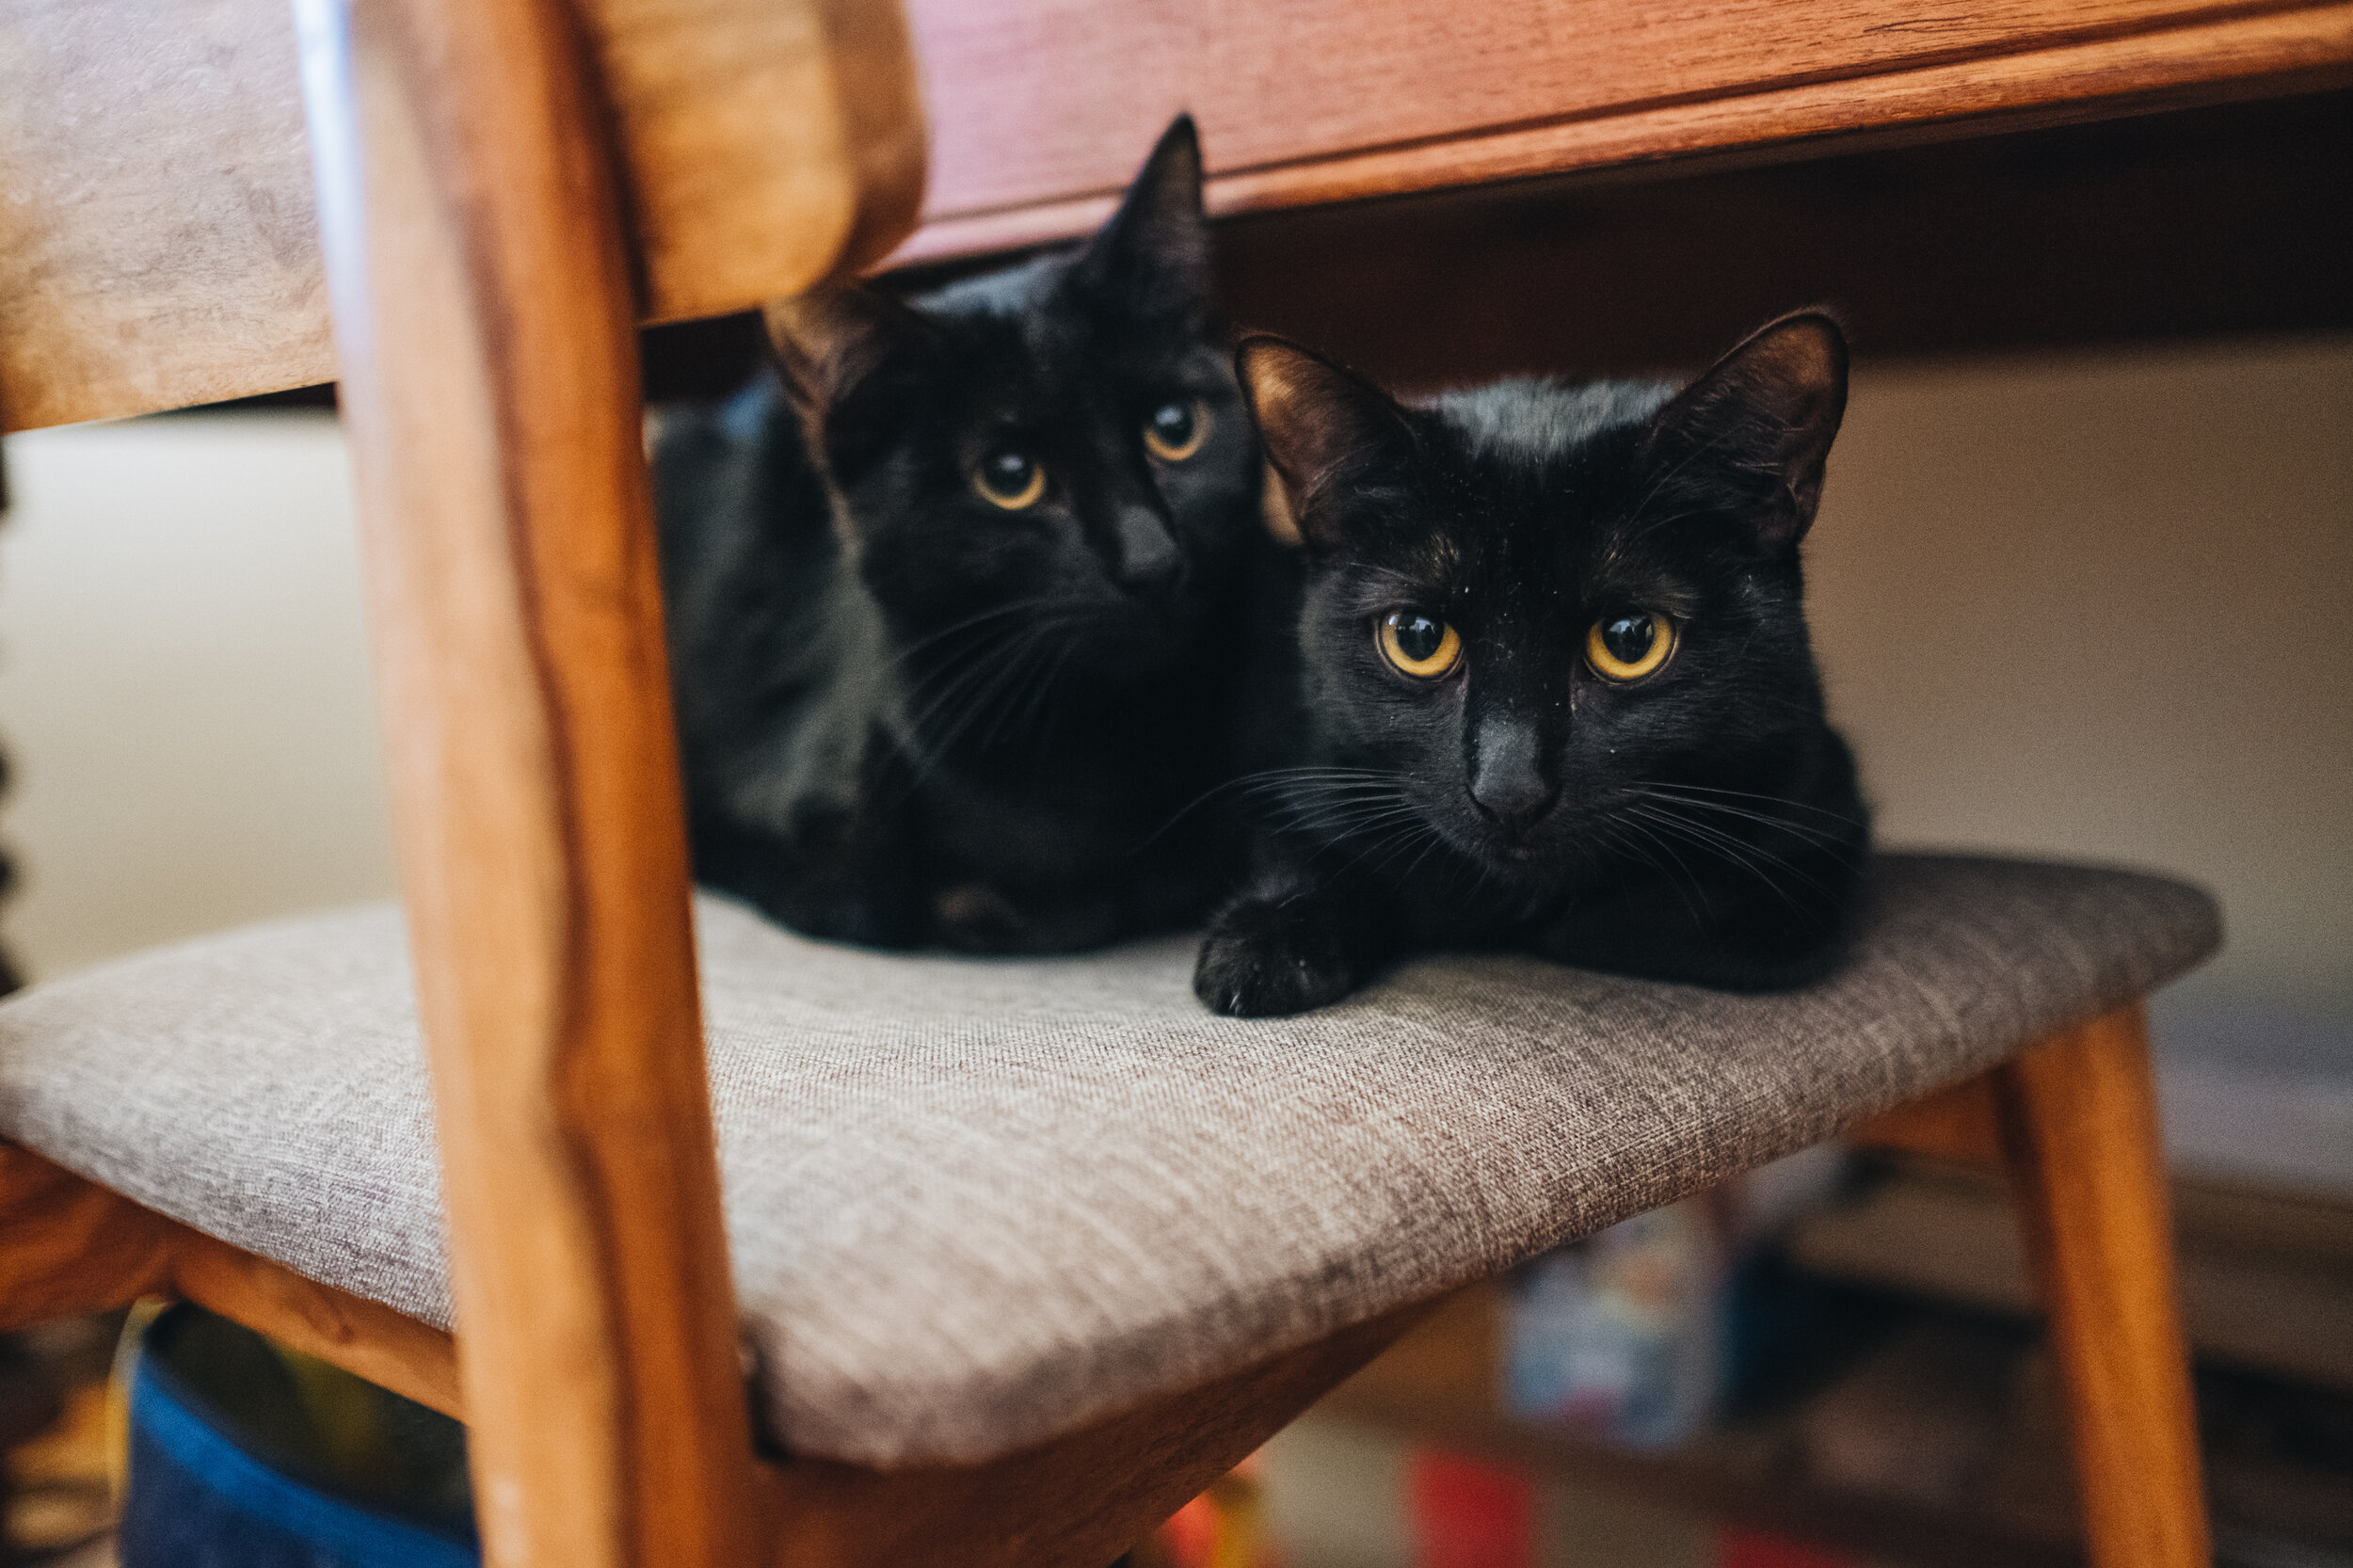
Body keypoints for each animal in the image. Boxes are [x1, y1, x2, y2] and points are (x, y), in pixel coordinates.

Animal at [1195, 312, 1871, 1016]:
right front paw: (1264, 941)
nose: (1510, 792)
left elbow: (1655, 915)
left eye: (1631, 640)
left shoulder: (1813, 839)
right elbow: (1305, 849)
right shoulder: (1305, 773)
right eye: (1417, 638)